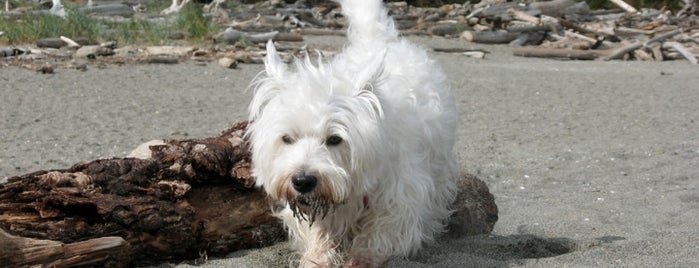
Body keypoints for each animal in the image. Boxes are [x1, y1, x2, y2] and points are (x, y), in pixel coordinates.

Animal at [246, 0, 460, 266]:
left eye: (335, 139)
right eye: (287, 139)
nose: (302, 181)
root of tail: (379, 39)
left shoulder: (400, 195)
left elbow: (379, 234)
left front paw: (361, 258)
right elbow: (319, 234)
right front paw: (317, 258)